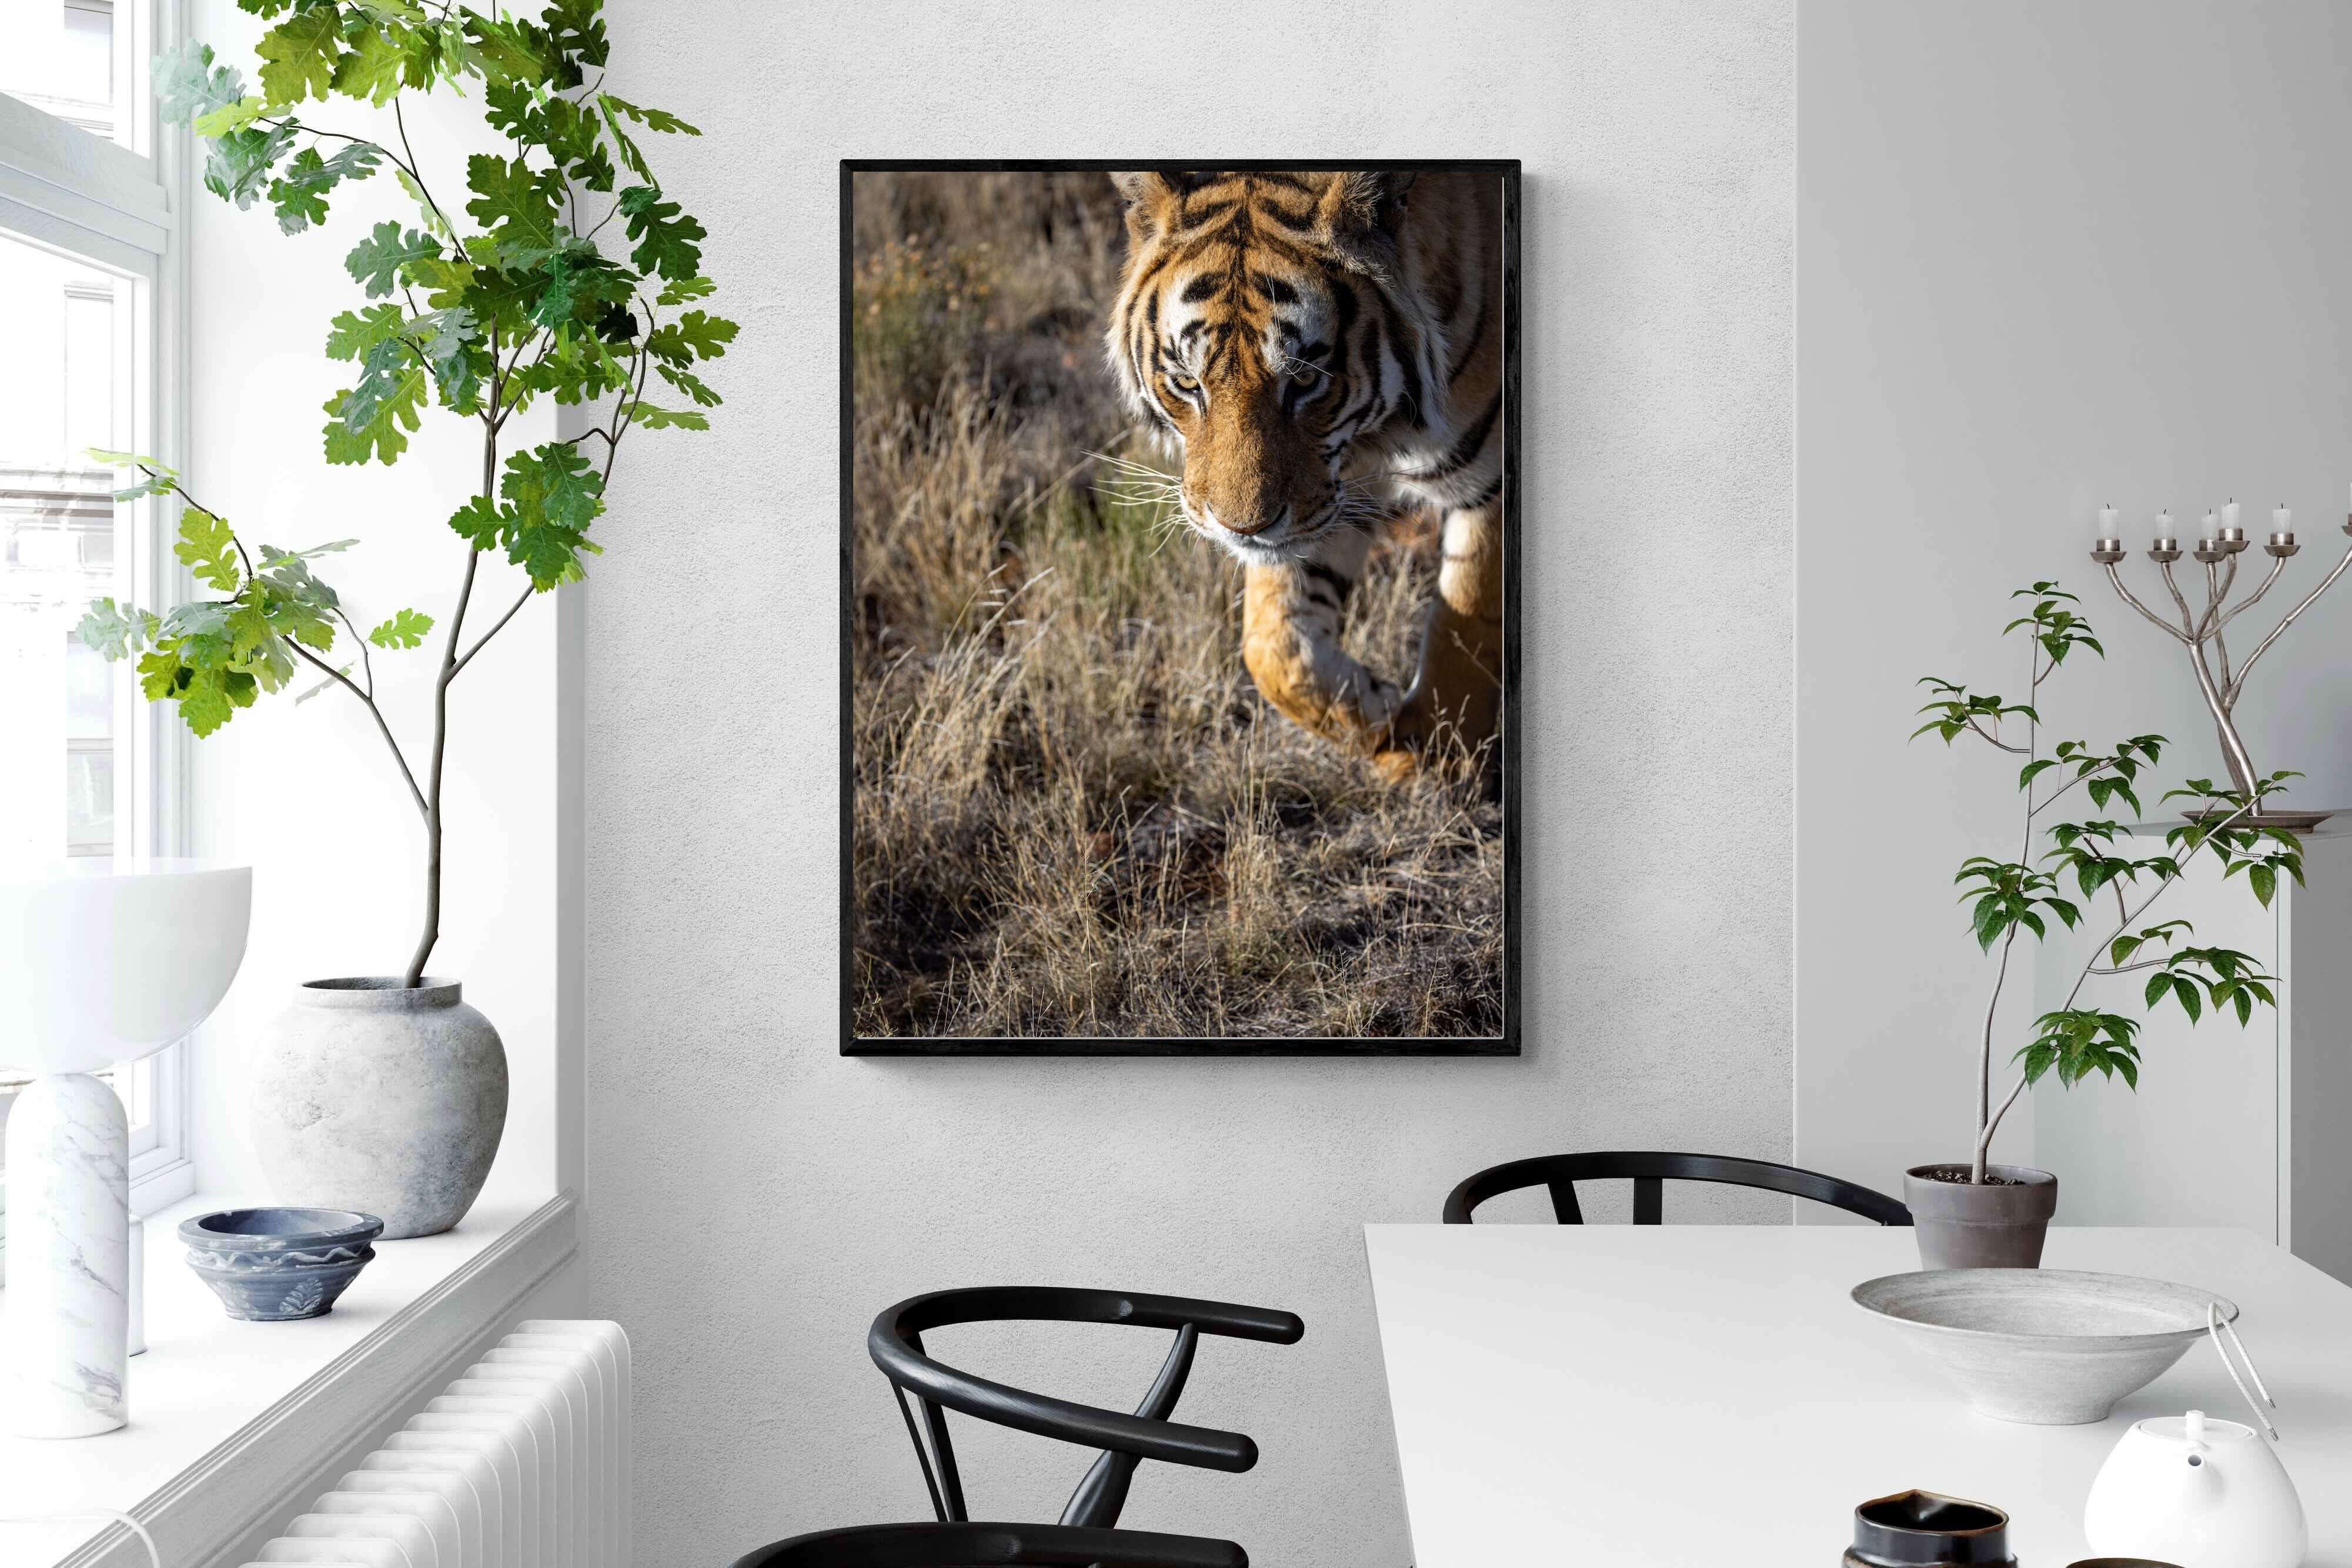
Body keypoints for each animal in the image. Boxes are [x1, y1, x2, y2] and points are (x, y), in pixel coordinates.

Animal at [1105, 169, 1505, 777]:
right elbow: (1274, 648)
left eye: (1306, 380)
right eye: (1188, 383)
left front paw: (1433, 759)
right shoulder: (1328, 496)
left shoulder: (1492, 479)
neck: (1380, 432)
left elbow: (1465, 627)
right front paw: (1378, 710)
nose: (1241, 529)